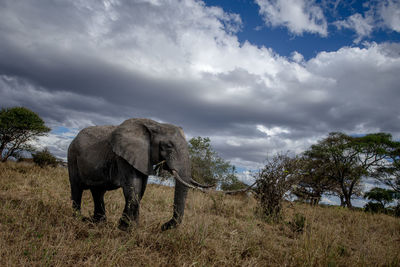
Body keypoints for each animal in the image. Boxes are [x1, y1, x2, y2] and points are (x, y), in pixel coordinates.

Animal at [67, 118, 211, 231]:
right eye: (168, 146)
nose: (162, 226)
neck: (155, 125)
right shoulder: (123, 156)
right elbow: (133, 188)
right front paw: (126, 229)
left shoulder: (143, 157)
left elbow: (141, 190)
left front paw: (130, 227)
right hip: (72, 156)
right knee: (77, 189)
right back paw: (78, 219)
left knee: (98, 192)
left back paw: (97, 222)